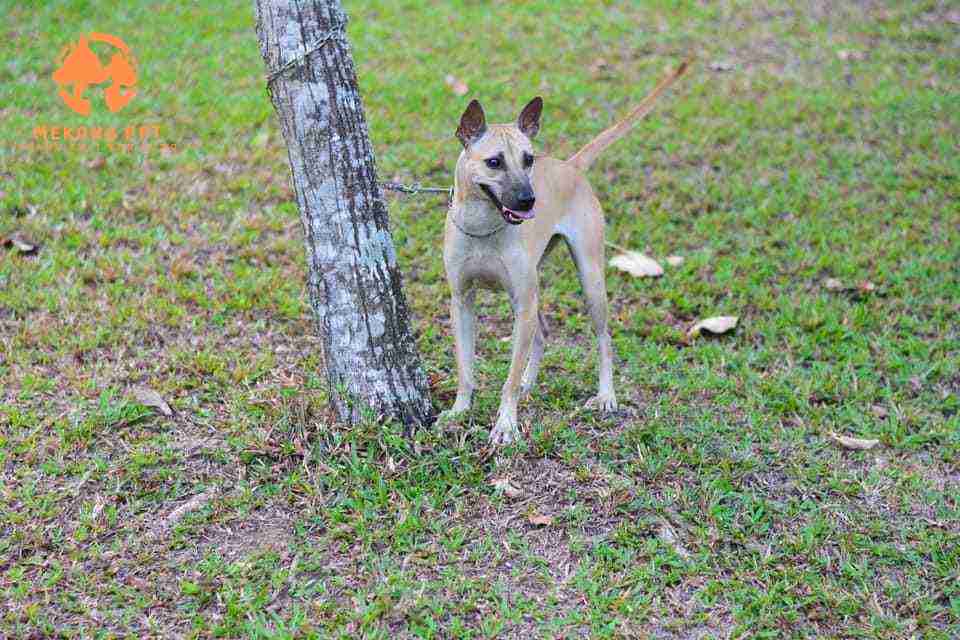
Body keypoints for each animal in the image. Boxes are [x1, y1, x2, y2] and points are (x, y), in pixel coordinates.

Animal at [438, 62, 688, 442]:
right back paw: (530, 383)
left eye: (528, 159)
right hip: (535, 290)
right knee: (541, 333)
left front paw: (505, 423)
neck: (483, 228)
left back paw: (605, 395)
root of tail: (571, 165)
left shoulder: (523, 303)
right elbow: (466, 369)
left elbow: (508, 379)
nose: (529, 200)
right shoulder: (462, 302)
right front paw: (459, 410)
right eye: (494, 162)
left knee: (603, 339)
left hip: (590, 281)